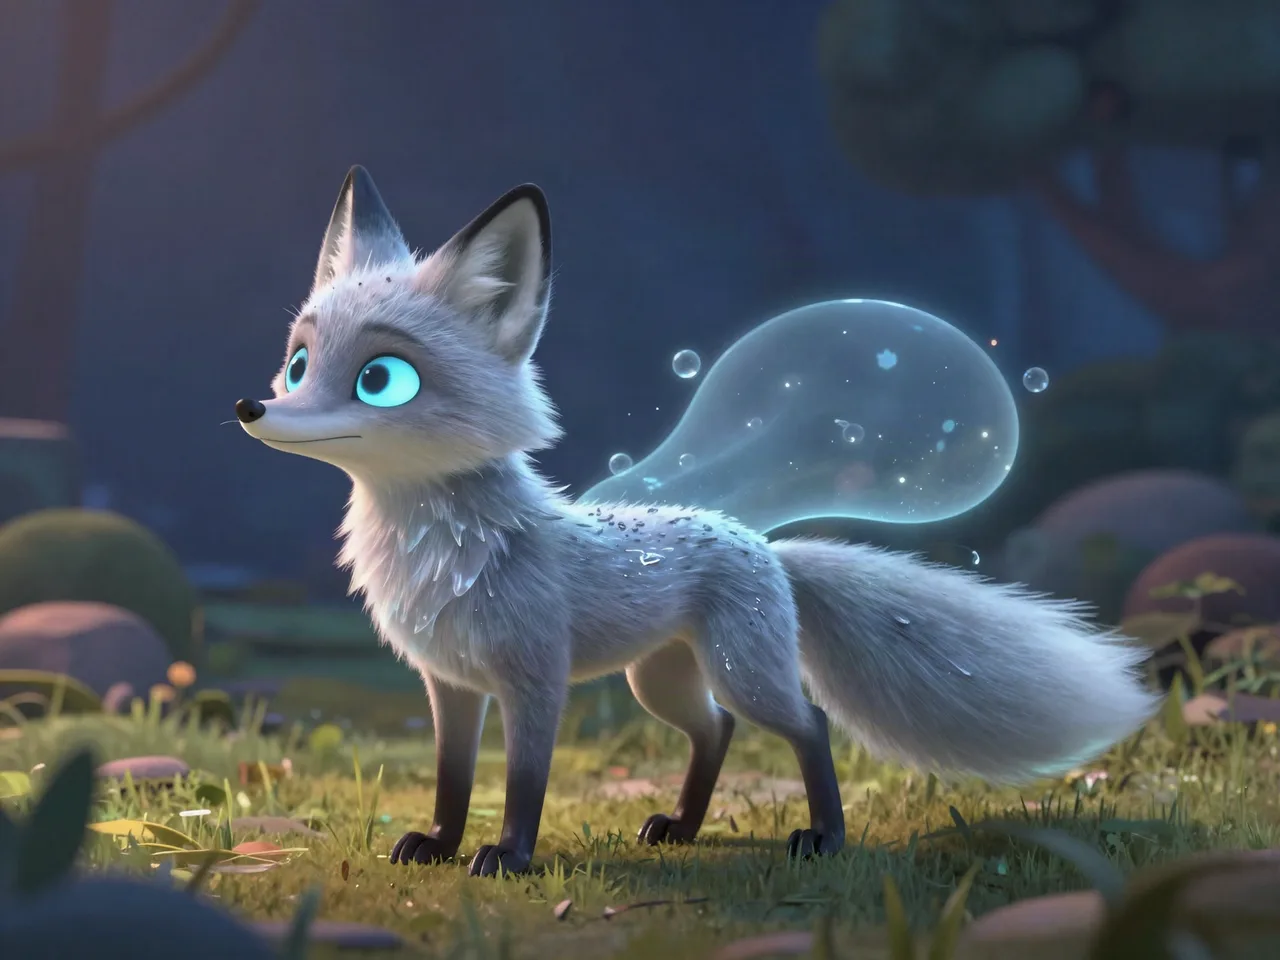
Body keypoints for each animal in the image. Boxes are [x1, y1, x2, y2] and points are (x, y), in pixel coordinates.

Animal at [235, 165, 1161, 877]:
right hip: (662, 681)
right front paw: (439, 843)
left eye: (381, 380)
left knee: (808, 724)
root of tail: (767, 545)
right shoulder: (451, 685)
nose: (253, 407)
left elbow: (525, 784)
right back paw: (681, 827)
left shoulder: (535, 680)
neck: (447, 555)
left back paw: (823, 836)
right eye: (298, 364)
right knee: (715, 730)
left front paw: (511, 857)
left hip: (739, 672)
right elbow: (452, 782)